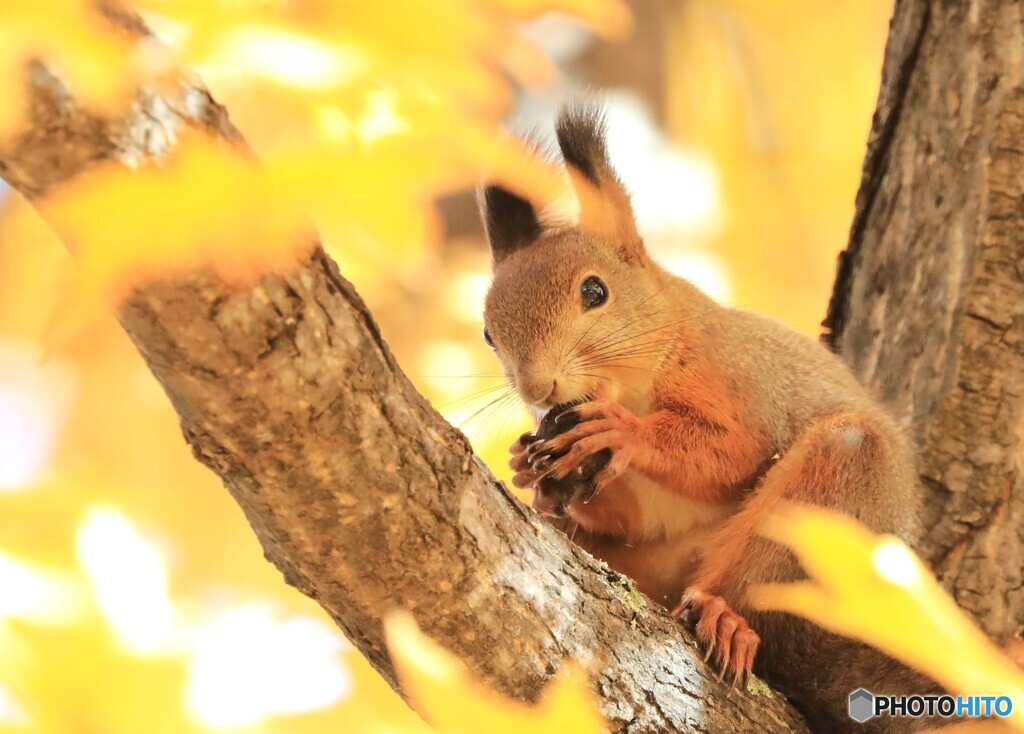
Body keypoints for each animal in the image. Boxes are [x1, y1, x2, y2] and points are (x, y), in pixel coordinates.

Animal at [475, 104, 937, 732]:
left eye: (594, 291)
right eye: (488, 333)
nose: (537, 388)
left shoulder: (738, 382)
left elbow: (733, 453)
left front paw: (622, 433)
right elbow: (628, 517)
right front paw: (529, 468)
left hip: (836, 504)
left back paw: (727, 619)